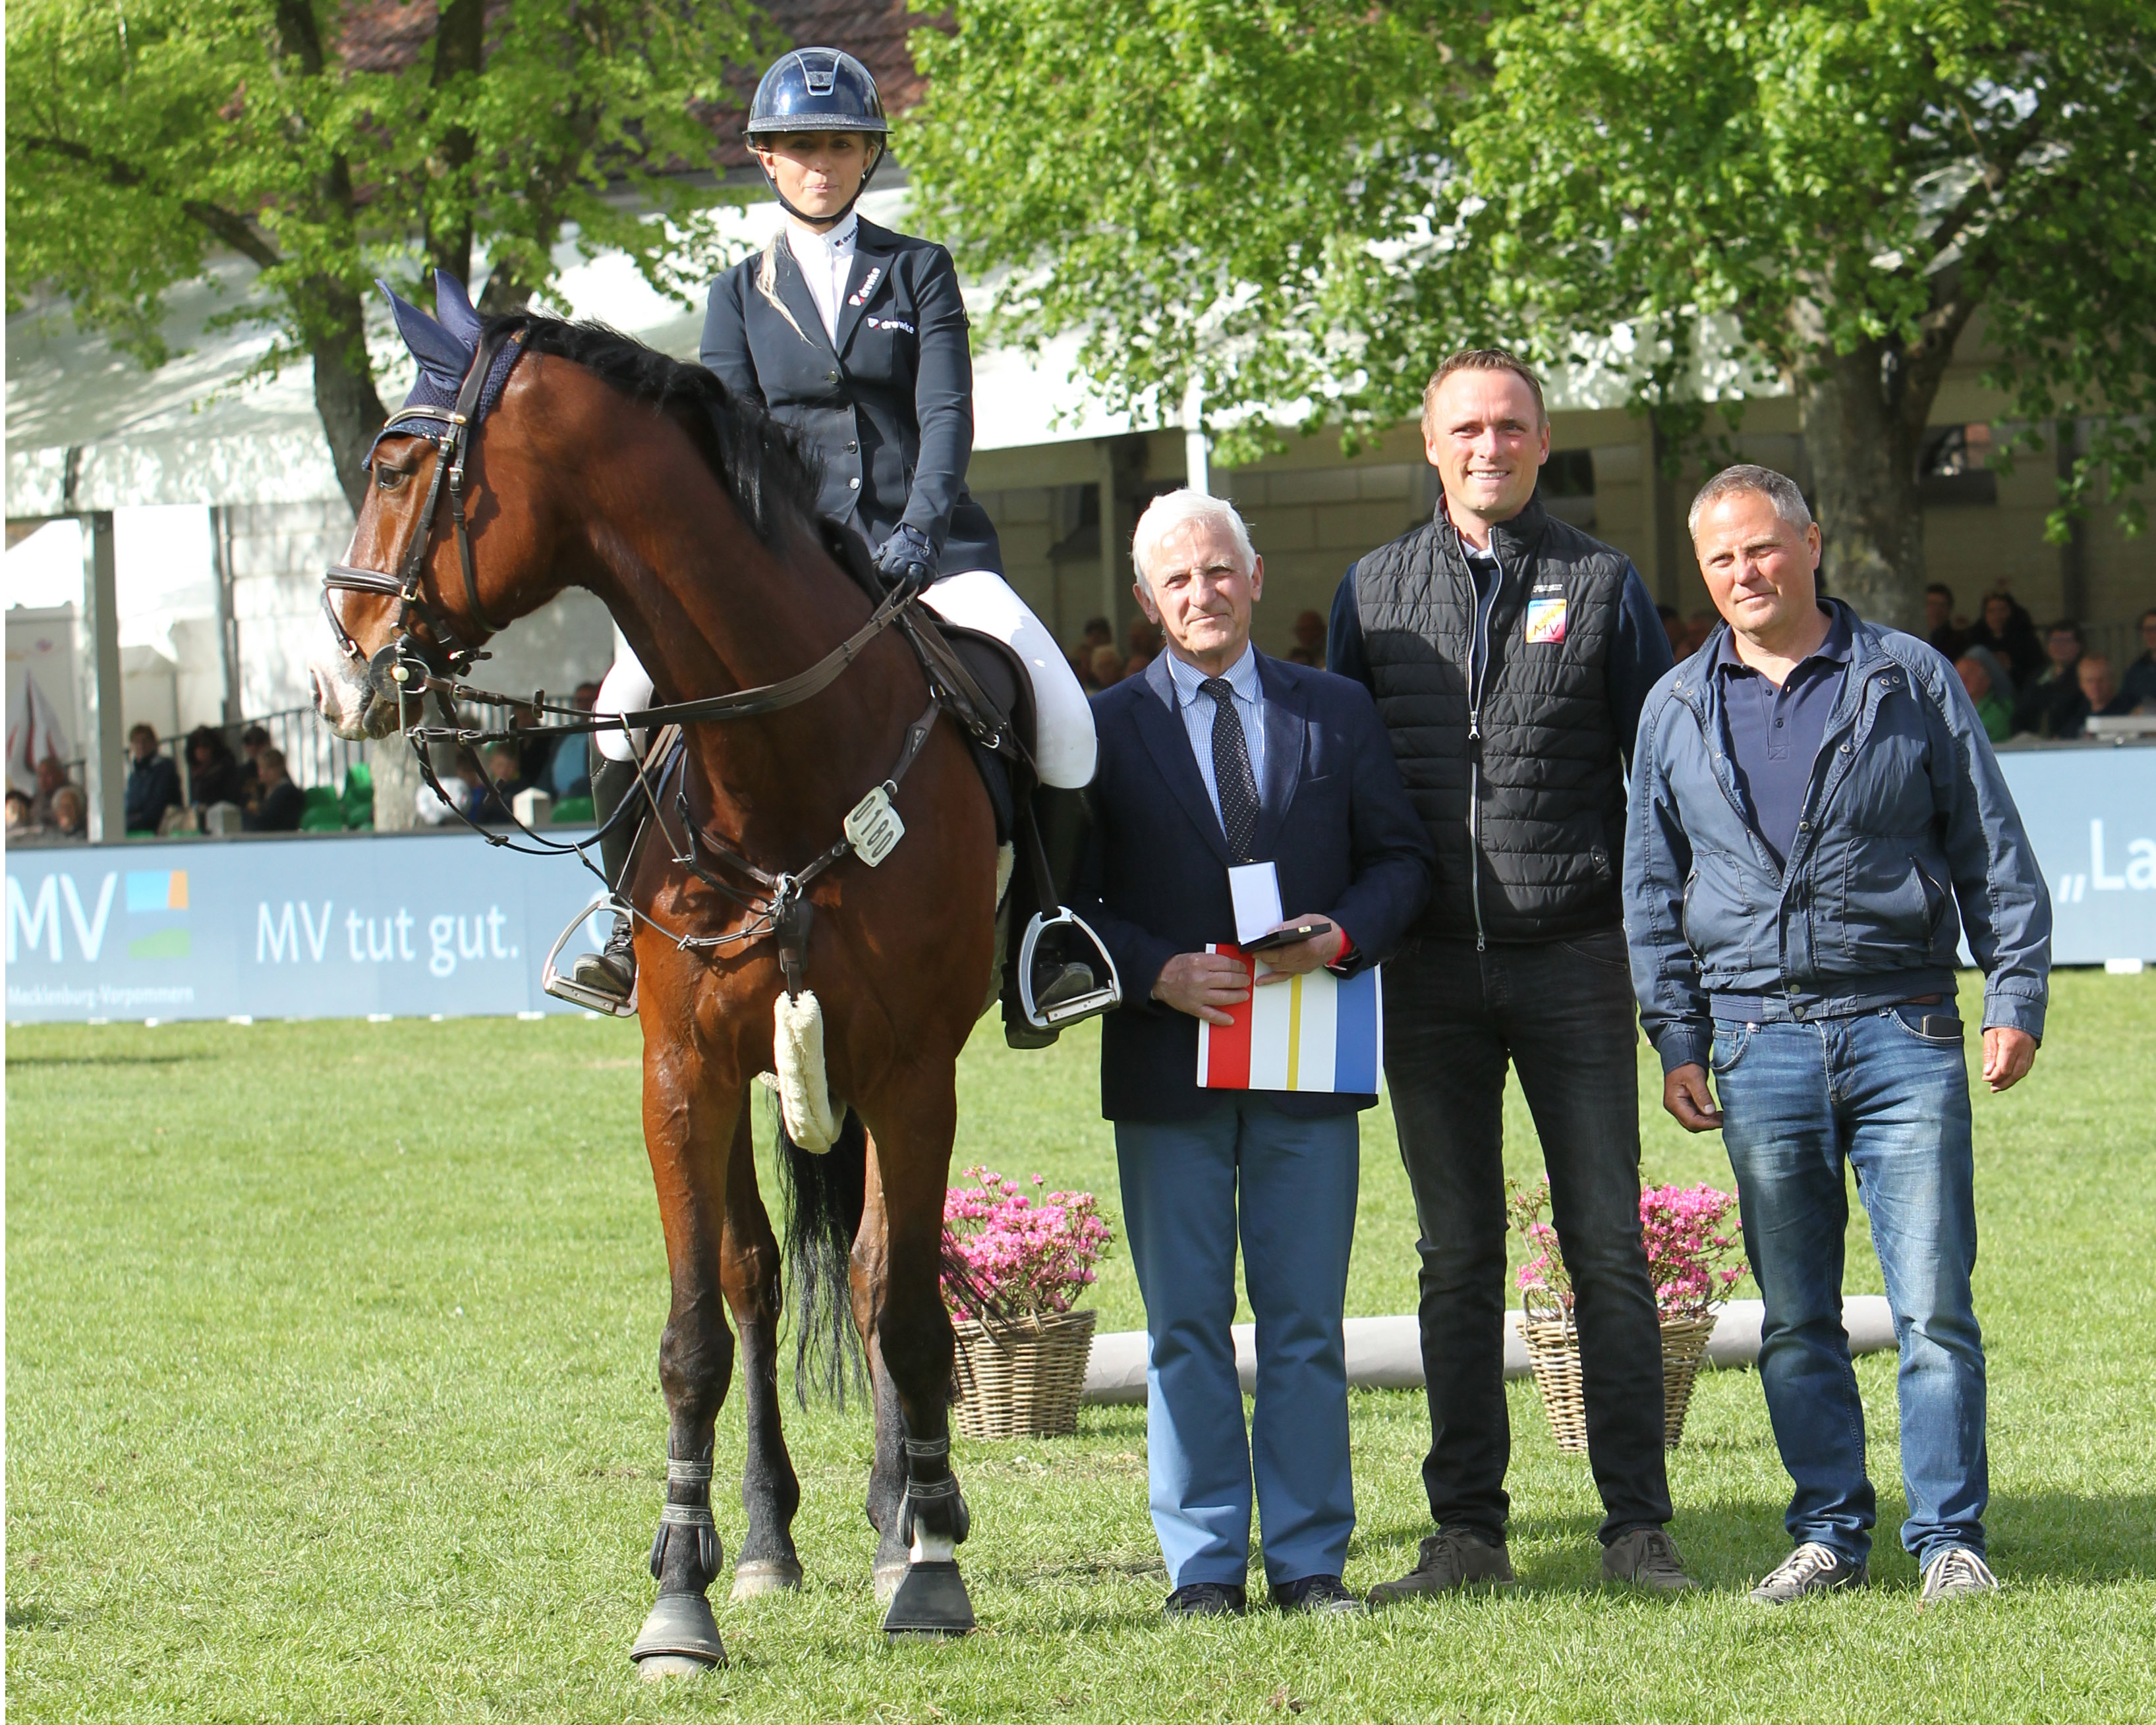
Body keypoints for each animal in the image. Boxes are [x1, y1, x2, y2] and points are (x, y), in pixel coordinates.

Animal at [310, 293, 1000, 1673]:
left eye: (397, 466)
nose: (343, 673)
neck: (782, 765)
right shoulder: (683, 1070)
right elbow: (695, 1333)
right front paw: (680, 1593)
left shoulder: (914, 1070)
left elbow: (904, 1307)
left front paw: (931, 1569)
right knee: (758, 1275)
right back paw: (772, 1537)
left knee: (868, 1272)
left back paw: (906, 1515)